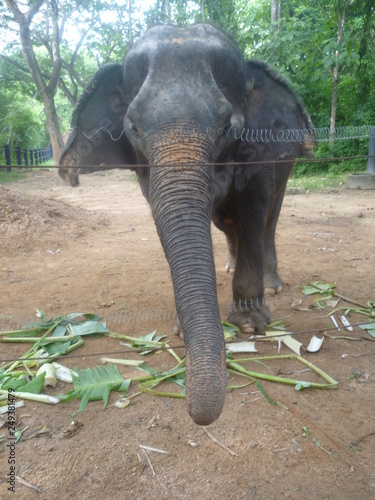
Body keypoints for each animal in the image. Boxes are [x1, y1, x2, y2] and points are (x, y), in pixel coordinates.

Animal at [59, 23, 314, 426]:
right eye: (133, 128)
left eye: (227, 127)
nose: (193, 404)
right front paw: (182, 327)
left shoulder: (258, 152)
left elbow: (253, 210)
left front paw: (250, 324)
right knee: (225, 222)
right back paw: (228, 264)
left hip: (287, 161)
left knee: (269, 216)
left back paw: (272, 284)